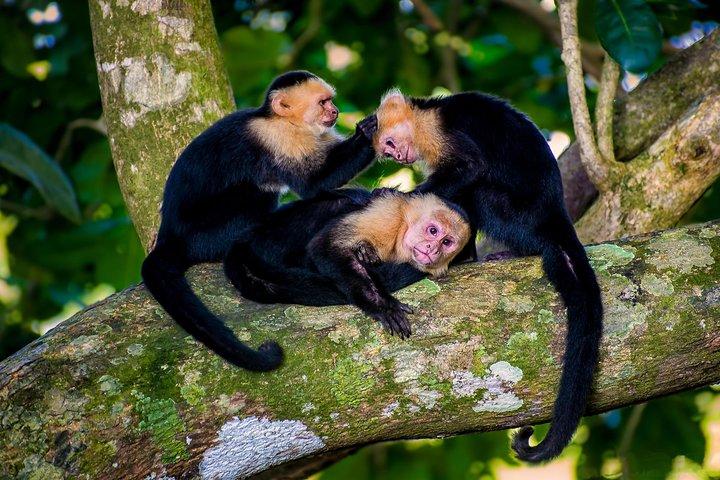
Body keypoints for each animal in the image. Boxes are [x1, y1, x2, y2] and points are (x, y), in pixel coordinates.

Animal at [140, 71, 378, 372]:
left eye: (330, 101)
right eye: (323, 102)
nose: (335, 111)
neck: (281, 121)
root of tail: (168, 237)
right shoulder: (277, 138)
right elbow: (314, 183)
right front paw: (369, 131)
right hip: (206, 236)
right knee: (254, 193)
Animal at [224, 188, 471, 338]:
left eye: (447, 242)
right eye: (433, 231)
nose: (432, 249)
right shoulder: (390, 214)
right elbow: (325, 245)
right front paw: (382, 305)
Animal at [370, 89, 603, 463]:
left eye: (390, 143)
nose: (397, 155)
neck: (425, 116)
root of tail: (557, 215)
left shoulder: (438, 130)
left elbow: (470, 168)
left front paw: (401, 196)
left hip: (517, 216)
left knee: (477, 193)